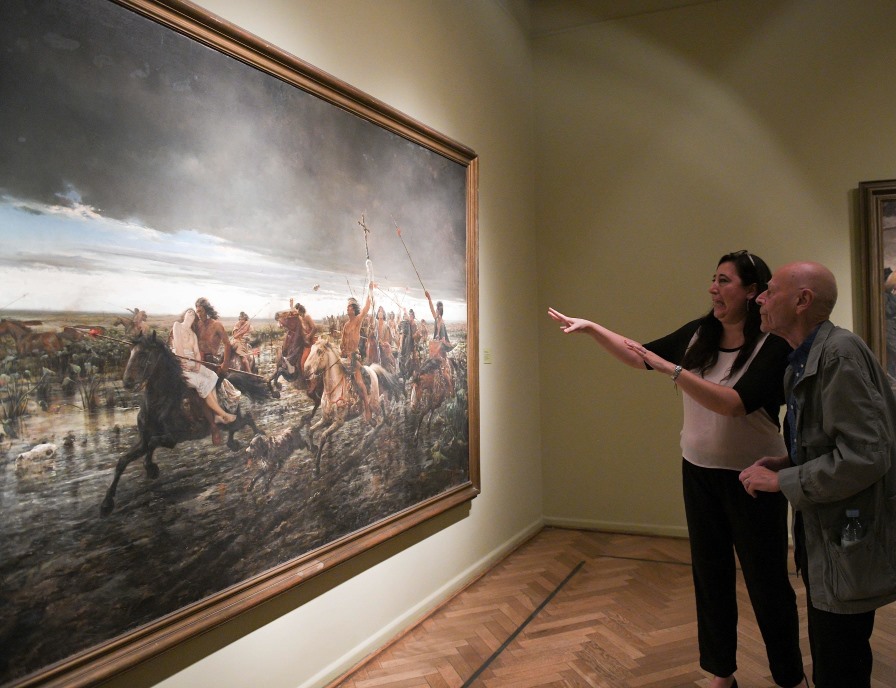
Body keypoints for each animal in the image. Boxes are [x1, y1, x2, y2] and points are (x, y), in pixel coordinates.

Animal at [100, 333, 263, 516]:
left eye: (143, 354)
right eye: (130, 352)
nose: (127, 382)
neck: (160, 403)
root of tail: (229, 381)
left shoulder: (173, 439)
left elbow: (152, 443)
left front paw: (150, 467)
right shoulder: (143, 440)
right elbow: (123, 460)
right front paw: (106, 504)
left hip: (231, 420)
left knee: (247, 418)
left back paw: (258, 436)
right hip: (227, 423)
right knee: (239, 423)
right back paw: (233, 443)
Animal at [302, 338, 401, 476]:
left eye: (319, 351)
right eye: (310, 349)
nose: (306, 370)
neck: (333, 390)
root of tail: (372, 369)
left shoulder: (338, 422)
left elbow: (322, 436)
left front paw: (316, 468)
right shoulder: (325, 419)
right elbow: (311, 430)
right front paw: (312, 447)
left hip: (373, 403)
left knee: (379, 414)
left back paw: (372, 434)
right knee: (381, 406)